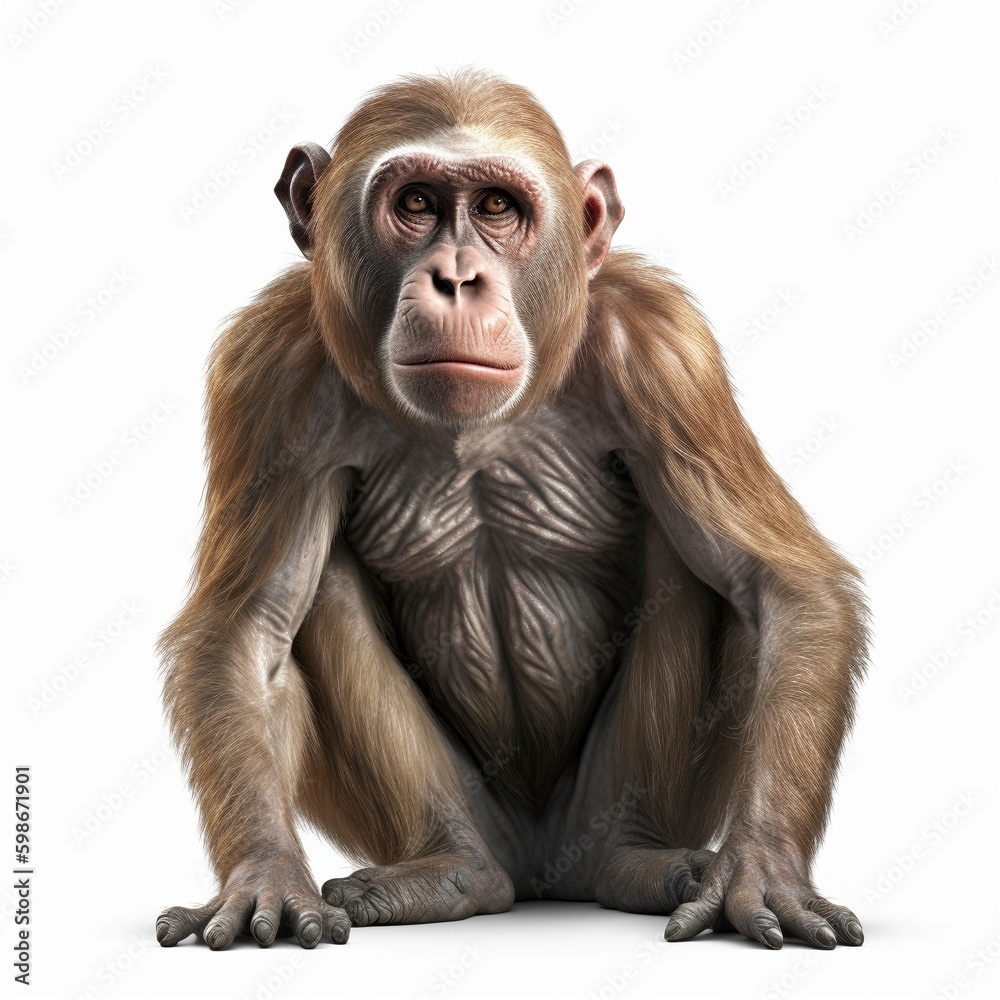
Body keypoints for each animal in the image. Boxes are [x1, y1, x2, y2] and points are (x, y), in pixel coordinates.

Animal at [155, 70, 867, 952]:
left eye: (497, 207)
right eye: (417, 202)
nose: (458, 276)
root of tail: (541, 875)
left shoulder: (667, 354)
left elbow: (777, 589)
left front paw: (761, 869)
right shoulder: (270, 375)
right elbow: (248, 628)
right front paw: (266, 874)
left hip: (594, 813)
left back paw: (635, 861)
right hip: (476, 821)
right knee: (320, 598)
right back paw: (450, 872)